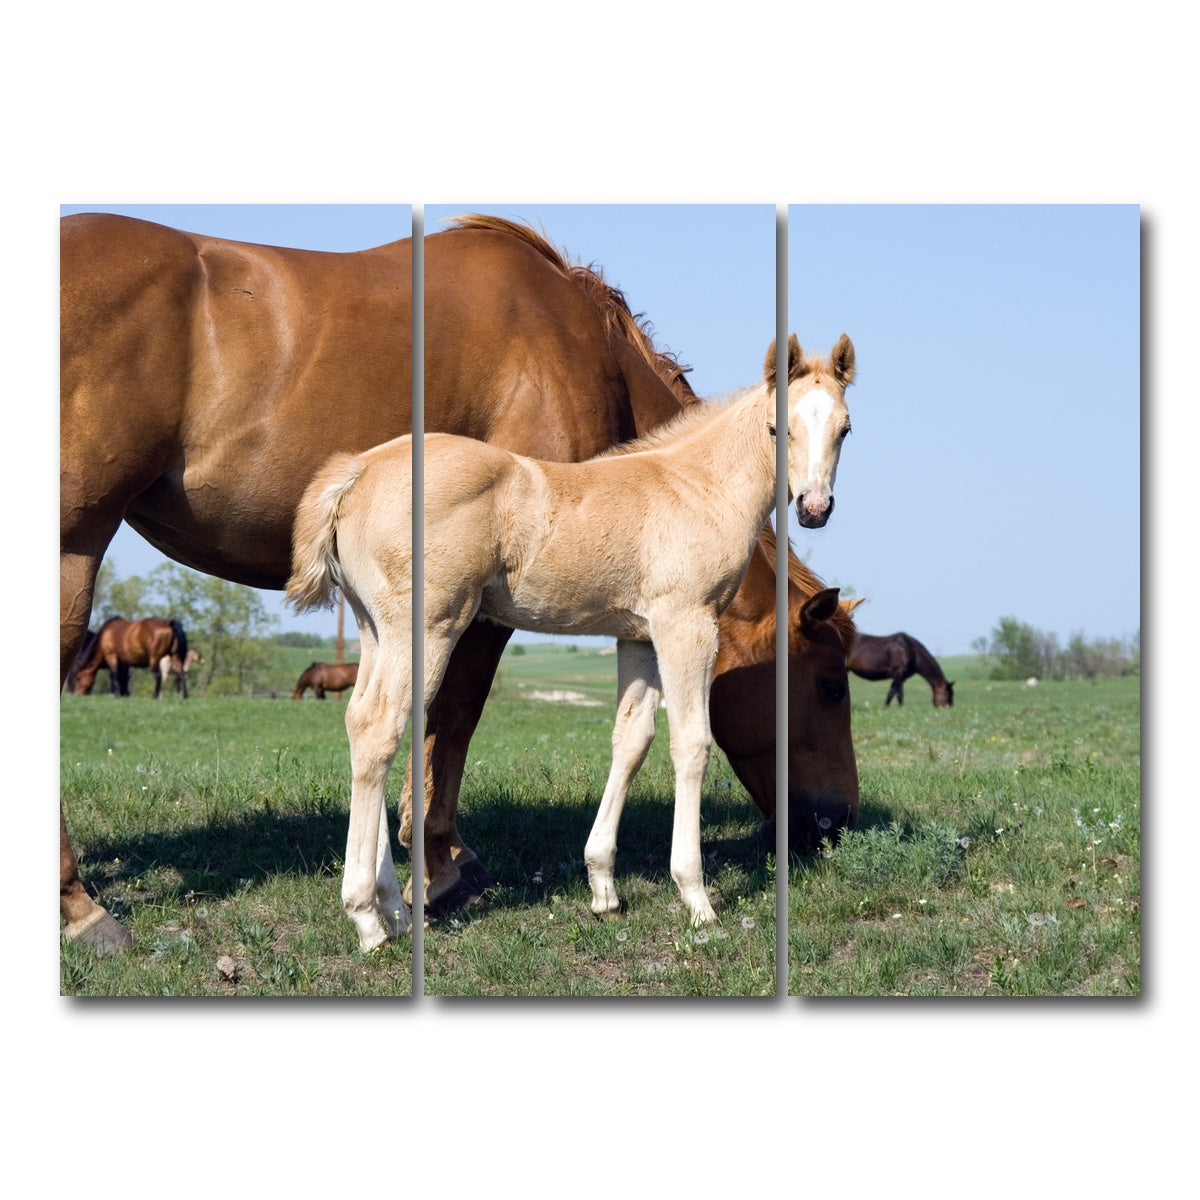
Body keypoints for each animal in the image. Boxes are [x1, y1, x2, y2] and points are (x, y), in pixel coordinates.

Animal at [287, 336, 853, 946]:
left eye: (845, 428)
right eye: (779, 428)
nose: (814, 508)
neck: (697, 488)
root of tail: (359, 469)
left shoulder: (638, 637)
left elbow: (632, 740)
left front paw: (603, 887)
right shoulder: (687, 623)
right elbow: (692, 743)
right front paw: (696, 897)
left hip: (376, 629)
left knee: (362, 723)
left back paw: (391, 908)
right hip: (429, 627)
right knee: (380, 729)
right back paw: (367, 918)